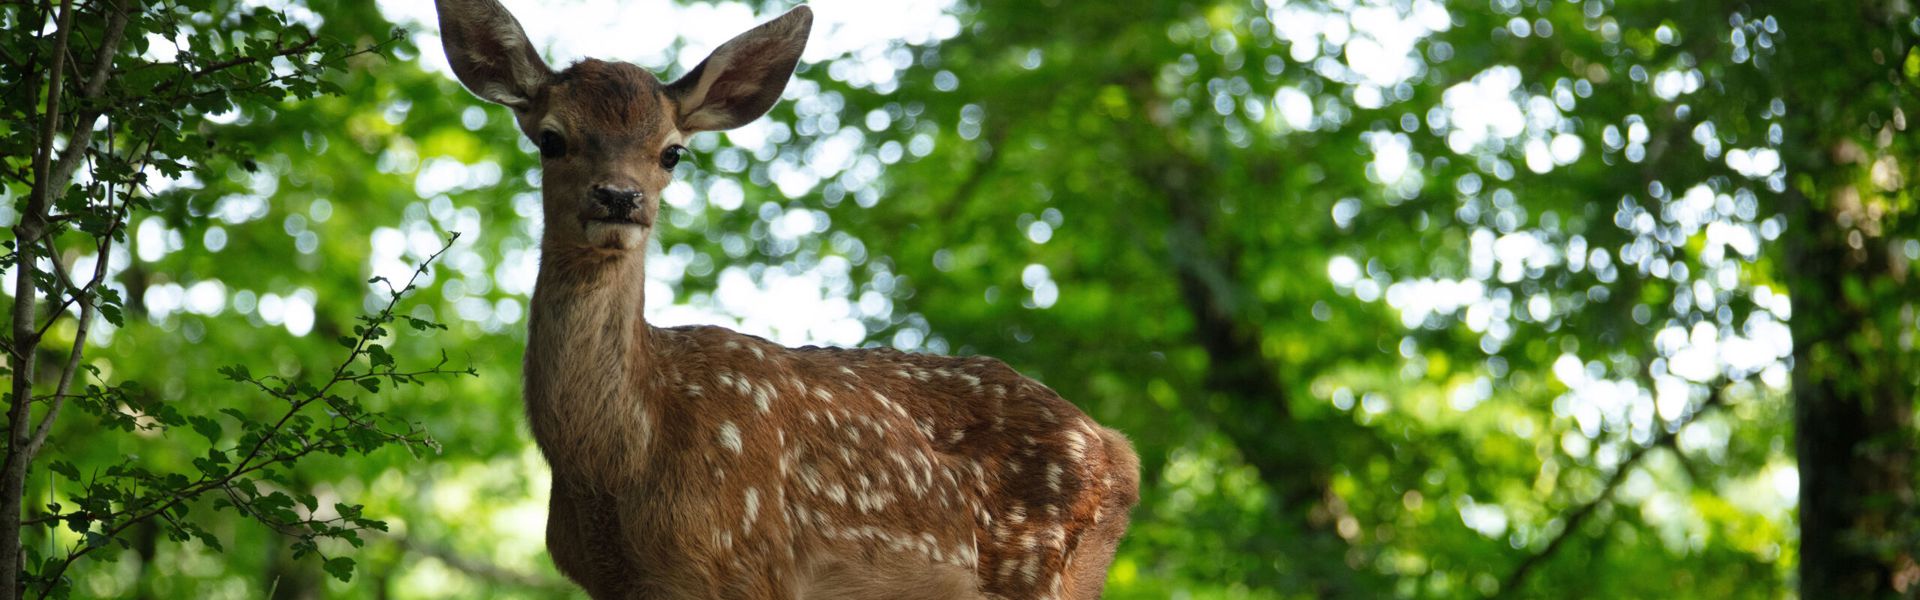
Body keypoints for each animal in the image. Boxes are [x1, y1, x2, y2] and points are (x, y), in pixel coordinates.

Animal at [432, 2, 1136, 596]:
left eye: (672, 152)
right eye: (551, 137)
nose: (618, 197)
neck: (618, 460)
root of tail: (1118, 449)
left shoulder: (749, 561)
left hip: (1042, 569)